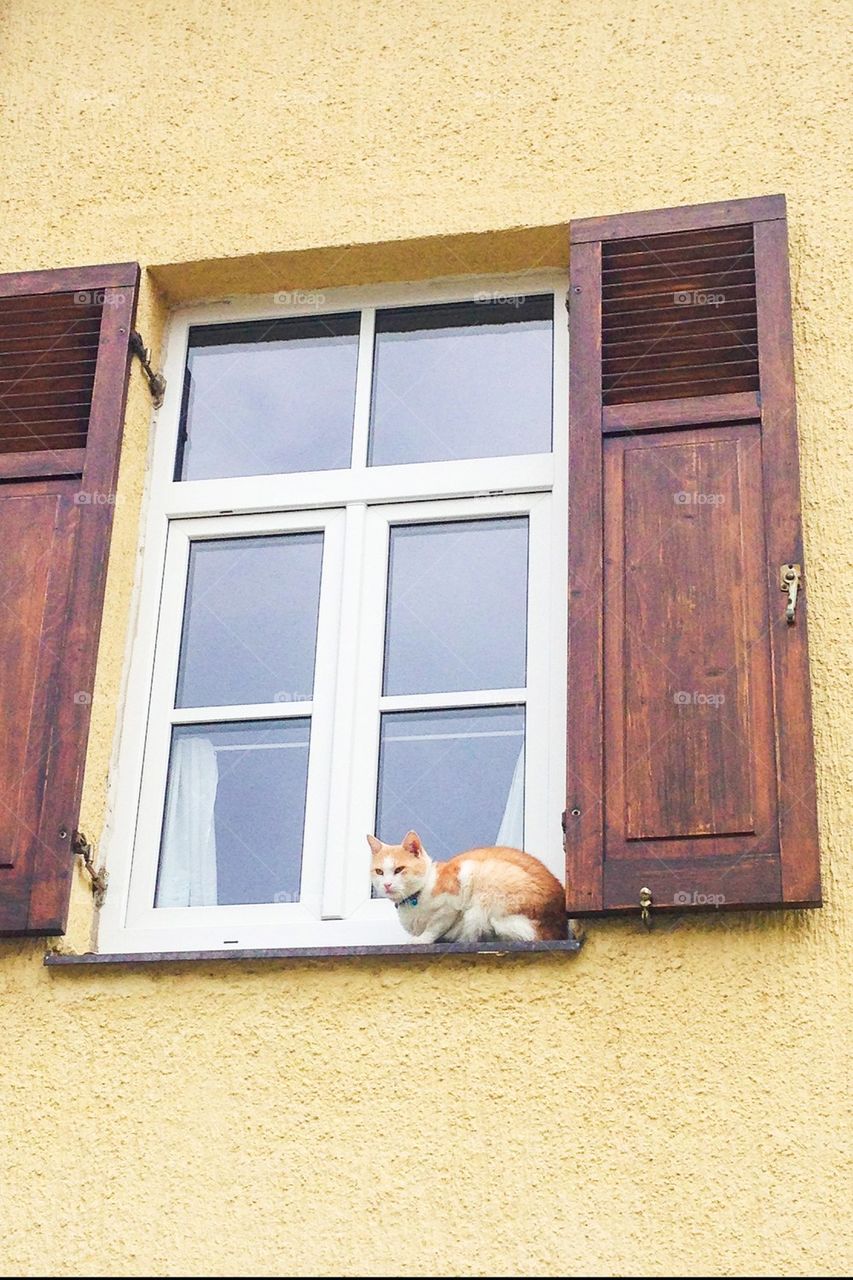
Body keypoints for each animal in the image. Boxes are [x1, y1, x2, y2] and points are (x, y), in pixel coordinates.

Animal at [366, 829, 563, 942]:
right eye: (379, 872)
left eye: (399, 869)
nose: (387, 884)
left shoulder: (457, 890)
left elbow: (435, 926)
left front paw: (421, 940)